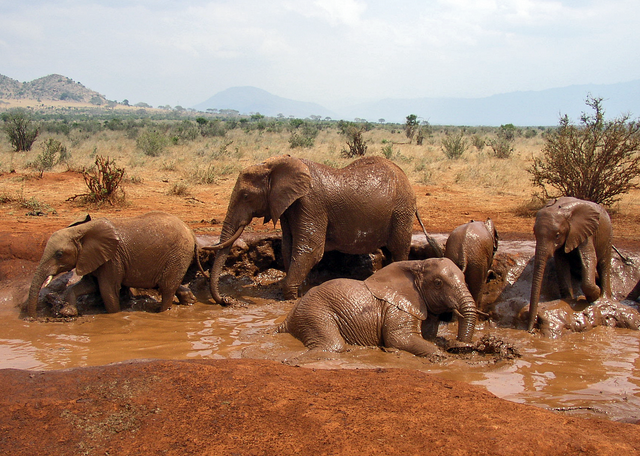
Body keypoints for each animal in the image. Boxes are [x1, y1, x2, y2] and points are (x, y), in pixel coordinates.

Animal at [25, 210, 202, 318]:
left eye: (59, 254)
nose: (33, 319)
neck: (82, 230)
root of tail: (191, 231)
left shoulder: (112, 258)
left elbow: (107, 289)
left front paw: (115, 316)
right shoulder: (92, 257)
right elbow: (89, 285)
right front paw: (68, 312)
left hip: (178, 254)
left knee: (166, 288)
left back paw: (162, 313)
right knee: (169, 284)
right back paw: (190, 301)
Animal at [208, 154, 442, 306]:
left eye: (246, 196)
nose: (227, 300)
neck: (274, 163)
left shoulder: (310, 202)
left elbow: (310, 248)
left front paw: (289, 296)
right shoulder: (288, 206)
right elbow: (289, 246)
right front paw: (299, 290)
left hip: (402, 212)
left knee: (399, 250)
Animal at [278, 256, 478, 356]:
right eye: (438, 283)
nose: (461, 345)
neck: (416, 264)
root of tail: (288, 318)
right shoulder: (397, 308)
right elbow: (399, 338)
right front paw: (442, 356)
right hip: (315, 312)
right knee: (333, 345)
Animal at [528, 198, 612, 330]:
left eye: (557, 235)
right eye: (534, 233)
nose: (530, 330)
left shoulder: (585, 231)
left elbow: (589, 257)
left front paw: (594, 296)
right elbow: (561, 262)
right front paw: (568, 299)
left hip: (607, 233)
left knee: (604, 263)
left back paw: (604, 297)